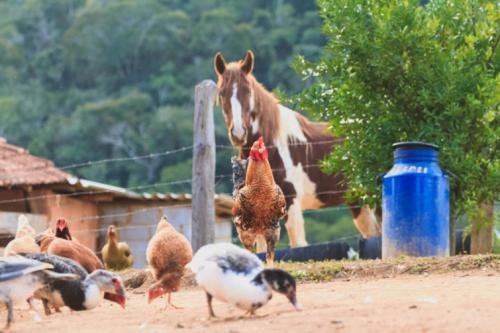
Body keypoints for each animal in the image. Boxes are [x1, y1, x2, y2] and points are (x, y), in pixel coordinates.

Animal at [213, 49, 380, 246]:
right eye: (222, 93)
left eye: (247, 90)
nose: (238, 133)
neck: (274, 148)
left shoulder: (291, 202)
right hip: (358, 201)